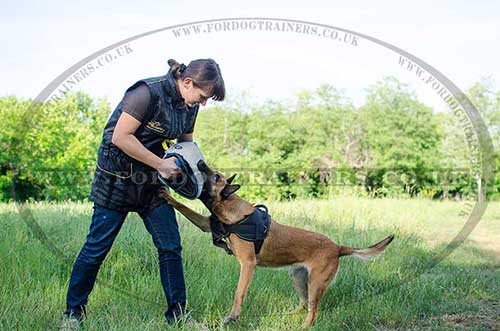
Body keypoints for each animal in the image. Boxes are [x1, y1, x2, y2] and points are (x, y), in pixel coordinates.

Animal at [160, 163, 394, 330]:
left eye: (216, 176)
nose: (200, 162)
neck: (232, 209)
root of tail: (338, 247)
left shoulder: (248, 264)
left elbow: (239, 292)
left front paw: (233, 316)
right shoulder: (206, 224)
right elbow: (185, 208)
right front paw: (166, 195)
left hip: (316, 283)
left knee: (313, 311)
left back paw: (303, 327)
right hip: (299, 278)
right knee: (304, 304)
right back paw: (289, 316)